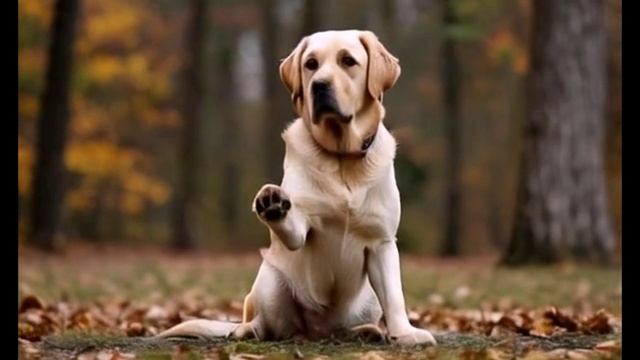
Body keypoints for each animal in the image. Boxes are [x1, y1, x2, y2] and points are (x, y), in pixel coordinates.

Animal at [156, 29, 436, 344]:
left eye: (348, 61)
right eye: (311, 64)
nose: (319, 86)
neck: (342, 158)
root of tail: (316, 334)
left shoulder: (382, 243)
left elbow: (395, 296)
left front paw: (405, 333)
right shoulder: (301, 231)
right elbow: (293, 225)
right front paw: (272, 203)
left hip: (367, 300)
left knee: (350, 324)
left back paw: (368, 331)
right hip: (271, 276)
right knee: (267, 324)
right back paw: (247, 330)